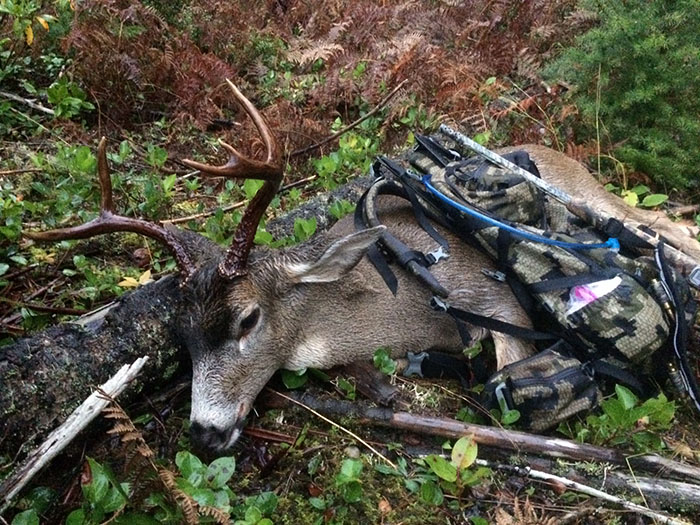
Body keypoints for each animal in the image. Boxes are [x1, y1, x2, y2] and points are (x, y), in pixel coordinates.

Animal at [28, 80, 700, 452]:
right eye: (181, 335)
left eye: (247, 321)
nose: (205, 434)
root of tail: (551, 147)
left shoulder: (500, 302)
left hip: (597, 200)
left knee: (666, 225)